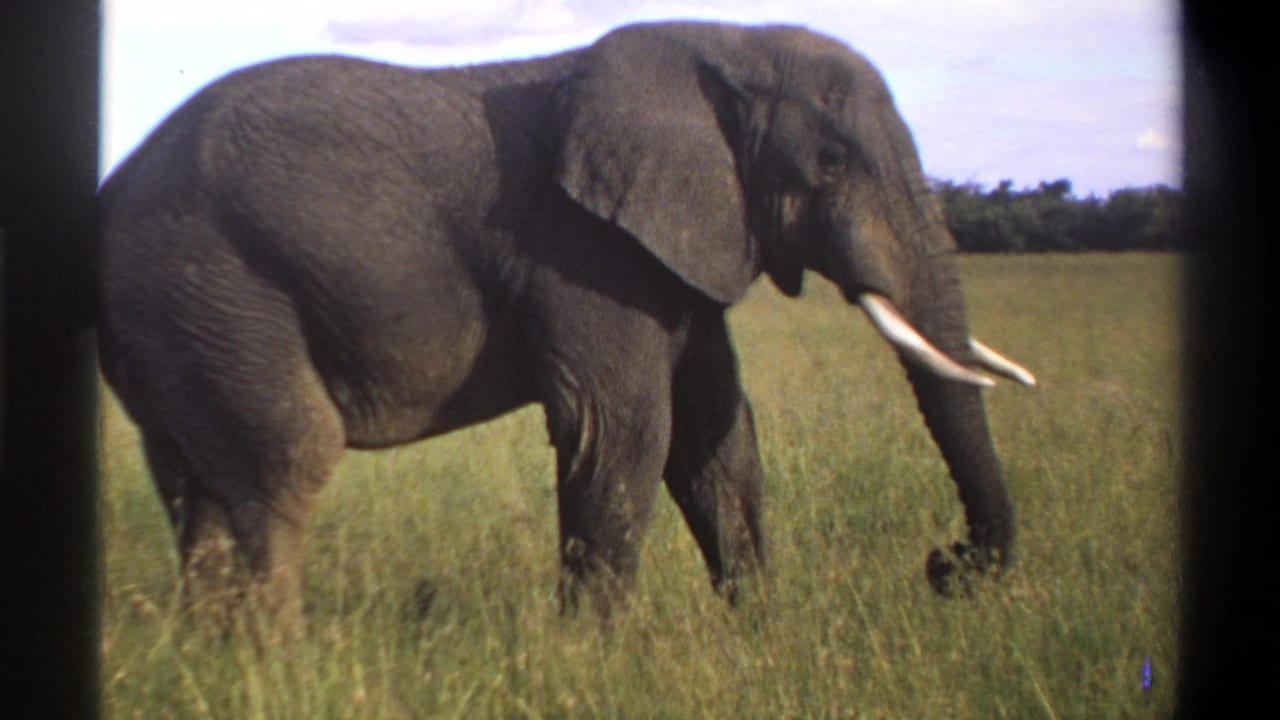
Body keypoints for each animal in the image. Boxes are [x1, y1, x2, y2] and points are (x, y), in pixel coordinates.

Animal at [96, 21, 1035, 634]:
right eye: (831, 164)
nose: (944, 564)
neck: (725, 42)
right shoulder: (582, 249)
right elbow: (623, 430)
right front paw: (593, 661)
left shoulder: (668, 251)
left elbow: (718, 439)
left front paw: (763, 638)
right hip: (212, 284)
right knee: (284, 461)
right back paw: (279, 666)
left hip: (177, 319)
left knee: (198, 488)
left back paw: (215, 661)